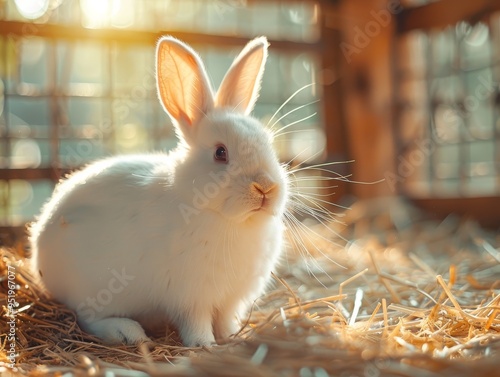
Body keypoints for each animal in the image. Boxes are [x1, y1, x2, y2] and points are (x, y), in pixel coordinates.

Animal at [29, 36, 290, 346]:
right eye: (220, 153)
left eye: (268, 143)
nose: (266, 187)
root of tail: (38, 246)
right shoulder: (191, 299)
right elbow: (196, 323)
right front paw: (204, 345)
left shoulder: (230, 300)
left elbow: (226, 320)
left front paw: (234, 336)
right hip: (89, 290)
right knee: (87, 319)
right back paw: (128, 332)